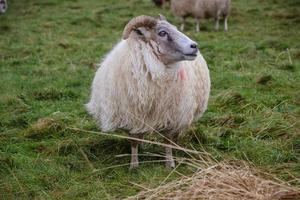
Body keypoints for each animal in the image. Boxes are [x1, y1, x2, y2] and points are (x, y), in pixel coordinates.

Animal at [85, 14, 210, 170]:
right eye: (162, 33)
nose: (194, 46)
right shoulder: (131, 117)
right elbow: (133, 141)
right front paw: (134, 165)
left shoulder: (172, 115)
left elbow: (167, 140)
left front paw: (170, 163)